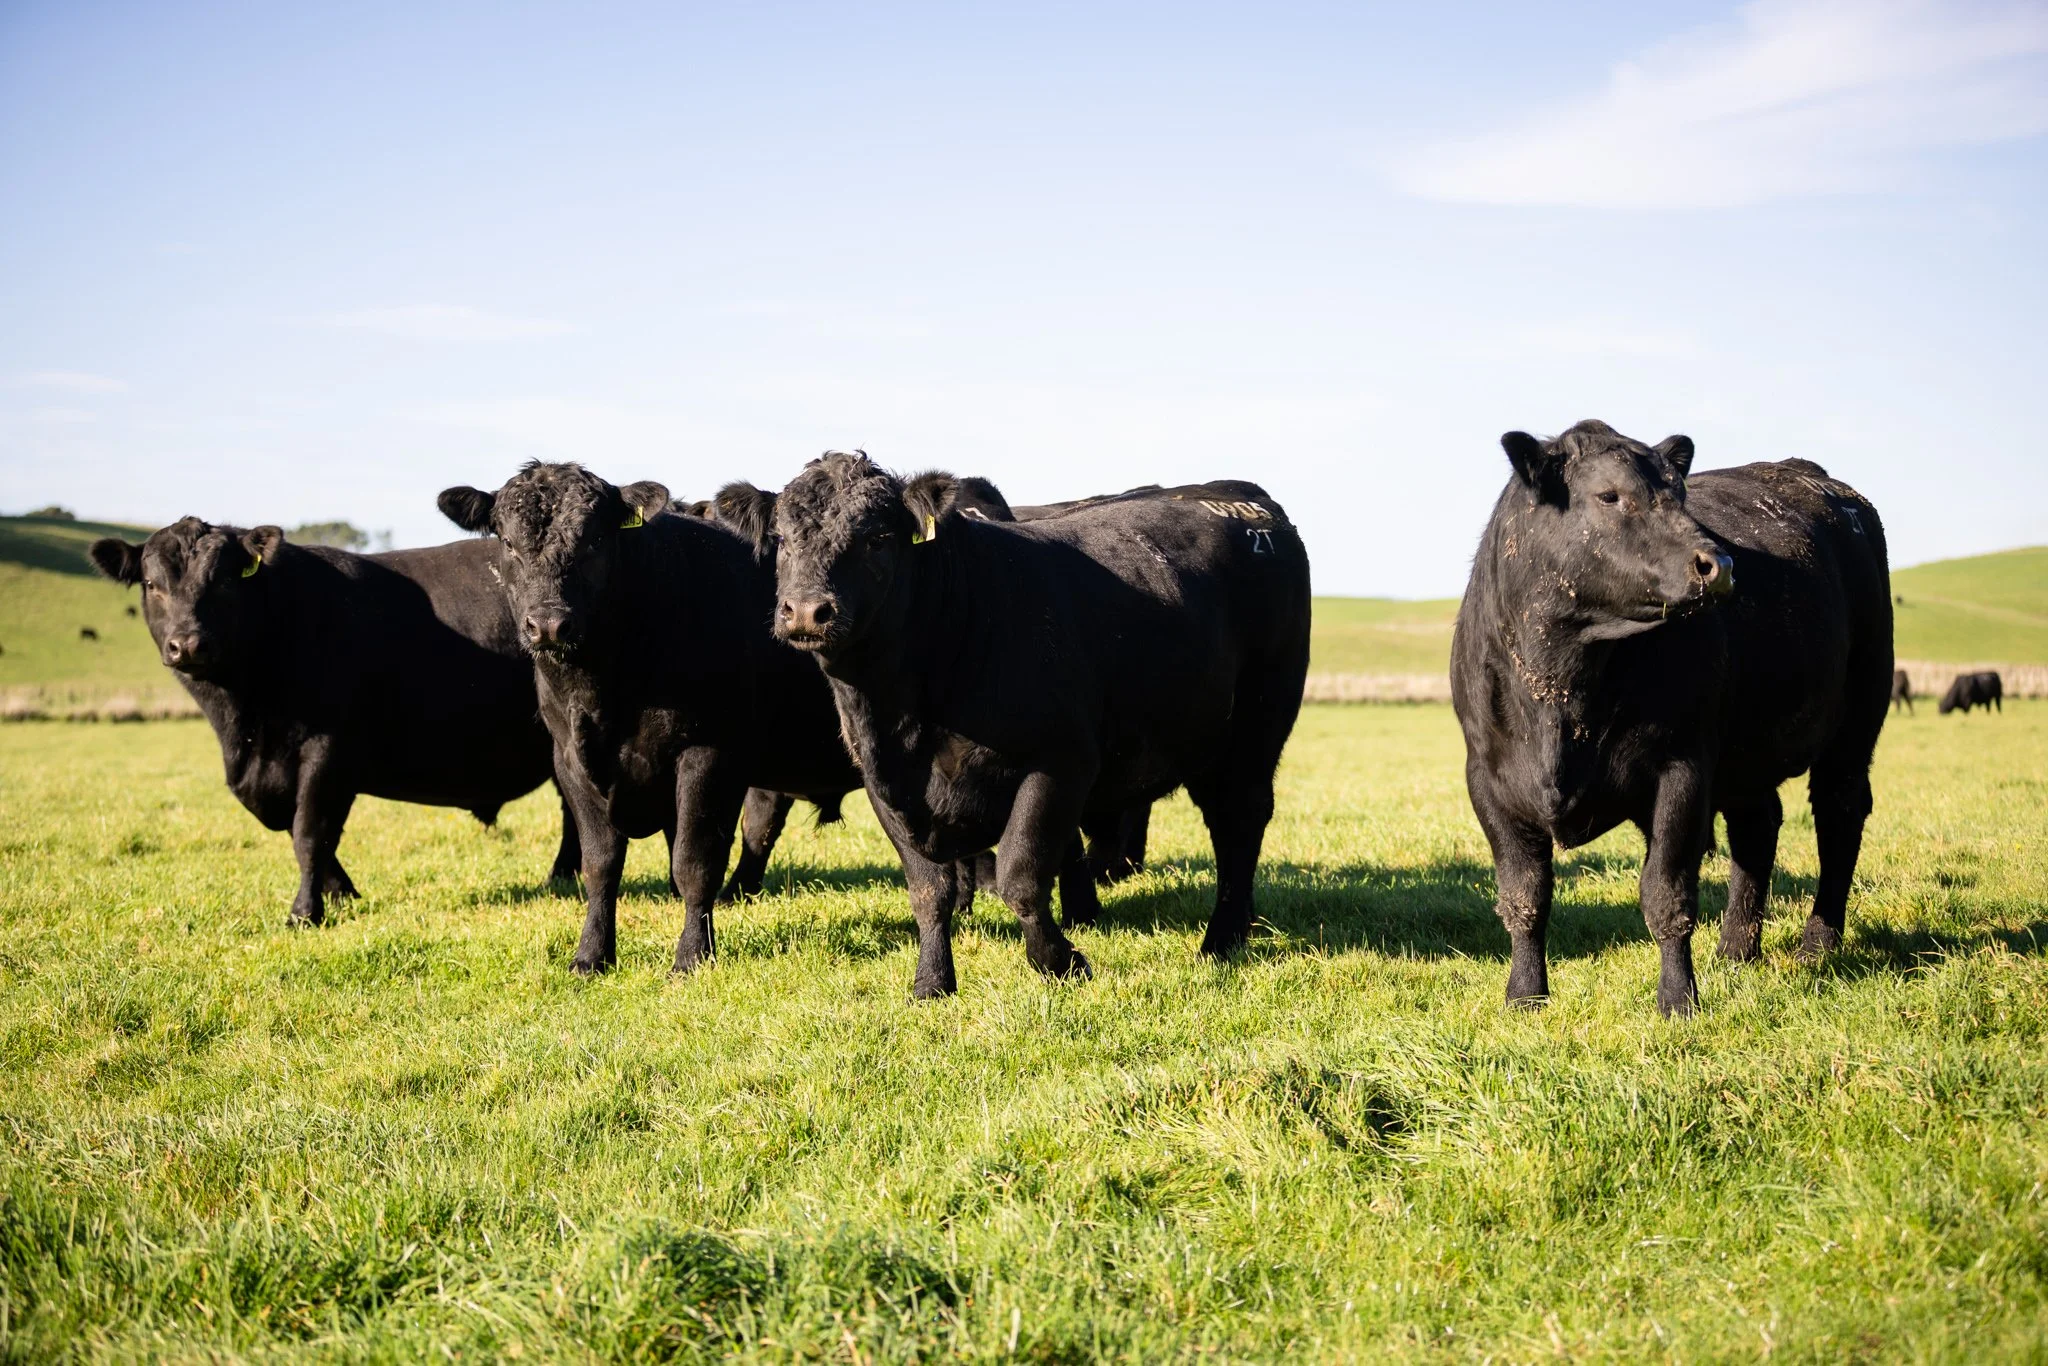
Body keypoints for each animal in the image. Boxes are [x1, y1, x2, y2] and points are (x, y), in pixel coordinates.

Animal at [88, 519, 580, 925]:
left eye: (224, 579)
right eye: (152, 583)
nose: (187, 644)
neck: (246, 722)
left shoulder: (328, 753)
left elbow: (310, 832)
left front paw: (306, 911)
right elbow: (298, 829)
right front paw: (341, 893)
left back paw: (562, 875)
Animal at [436, 463, 867, 975]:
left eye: (595, 539)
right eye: (506, 540)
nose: (549, 624)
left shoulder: (708, 754)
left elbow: (693, 862)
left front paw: (692, 956)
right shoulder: (570, 761)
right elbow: (600, 864)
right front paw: (591, 955)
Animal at [760, 451, 1312, 997]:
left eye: (877, 538)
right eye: (781, 539)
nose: (807, 610)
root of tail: (1242, 498)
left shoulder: (1058, 763)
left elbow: (1020, 875)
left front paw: (1060, 962)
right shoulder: (886, 786)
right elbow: (929, 890)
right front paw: (932, 982)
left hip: (1256, 727)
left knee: (1238, 821)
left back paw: (1221, 941)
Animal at [1451, 420, 1893, 1016]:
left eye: (1679, 494)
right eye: (1609, 495)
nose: (1720, 565)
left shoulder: (1680, 771)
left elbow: (1666, 894)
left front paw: (1677, 998)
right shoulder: (1489, 783)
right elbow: (1523, 897)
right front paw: (1525, 995)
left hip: (1856, 720)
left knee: (1839, 812)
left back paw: (1816, 946)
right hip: (1747, 755)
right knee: (1758, 828)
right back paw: (1736, 950)